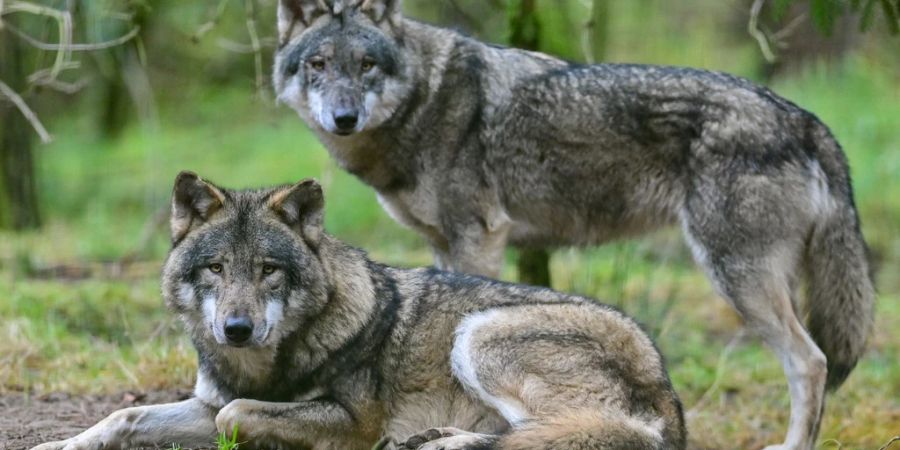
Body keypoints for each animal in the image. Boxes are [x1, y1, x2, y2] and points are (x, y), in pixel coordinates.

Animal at [31, 171, 684, 448]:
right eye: (216, 269)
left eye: (268, 270)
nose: (237, 329)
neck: (270, 363)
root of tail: (668, 390)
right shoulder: (205, 400)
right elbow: (123, 418)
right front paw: (57, 447)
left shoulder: (353, 421)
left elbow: (236, 417)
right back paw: (436, 441)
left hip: (478, 333)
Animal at [270, 1, 876, 448]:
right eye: (318, 65)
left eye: (366, 65)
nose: (344, 118)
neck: (426, 99)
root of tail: (803, 117)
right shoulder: (445, 246)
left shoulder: (479, 237)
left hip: (735, 277)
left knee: (811, 363)